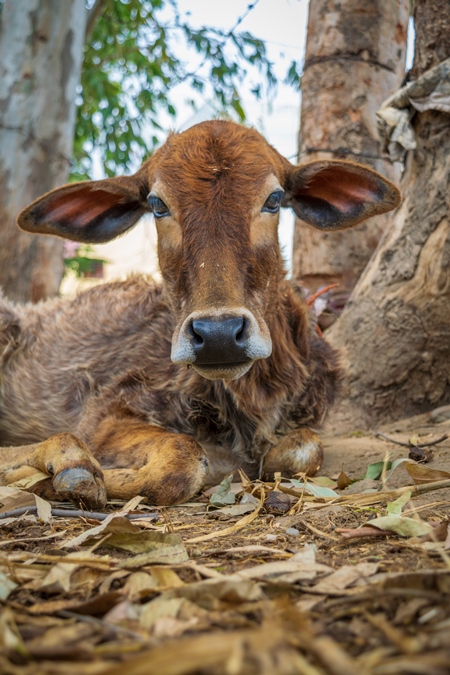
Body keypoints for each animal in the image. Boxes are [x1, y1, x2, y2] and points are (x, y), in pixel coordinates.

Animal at [0, 121, 400, 508]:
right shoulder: (106, 411)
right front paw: (63, 480)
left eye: (273, 199)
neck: (253, 395)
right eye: (158, 204)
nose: (219, 335)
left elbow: (303, 448)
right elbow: (182, 460)